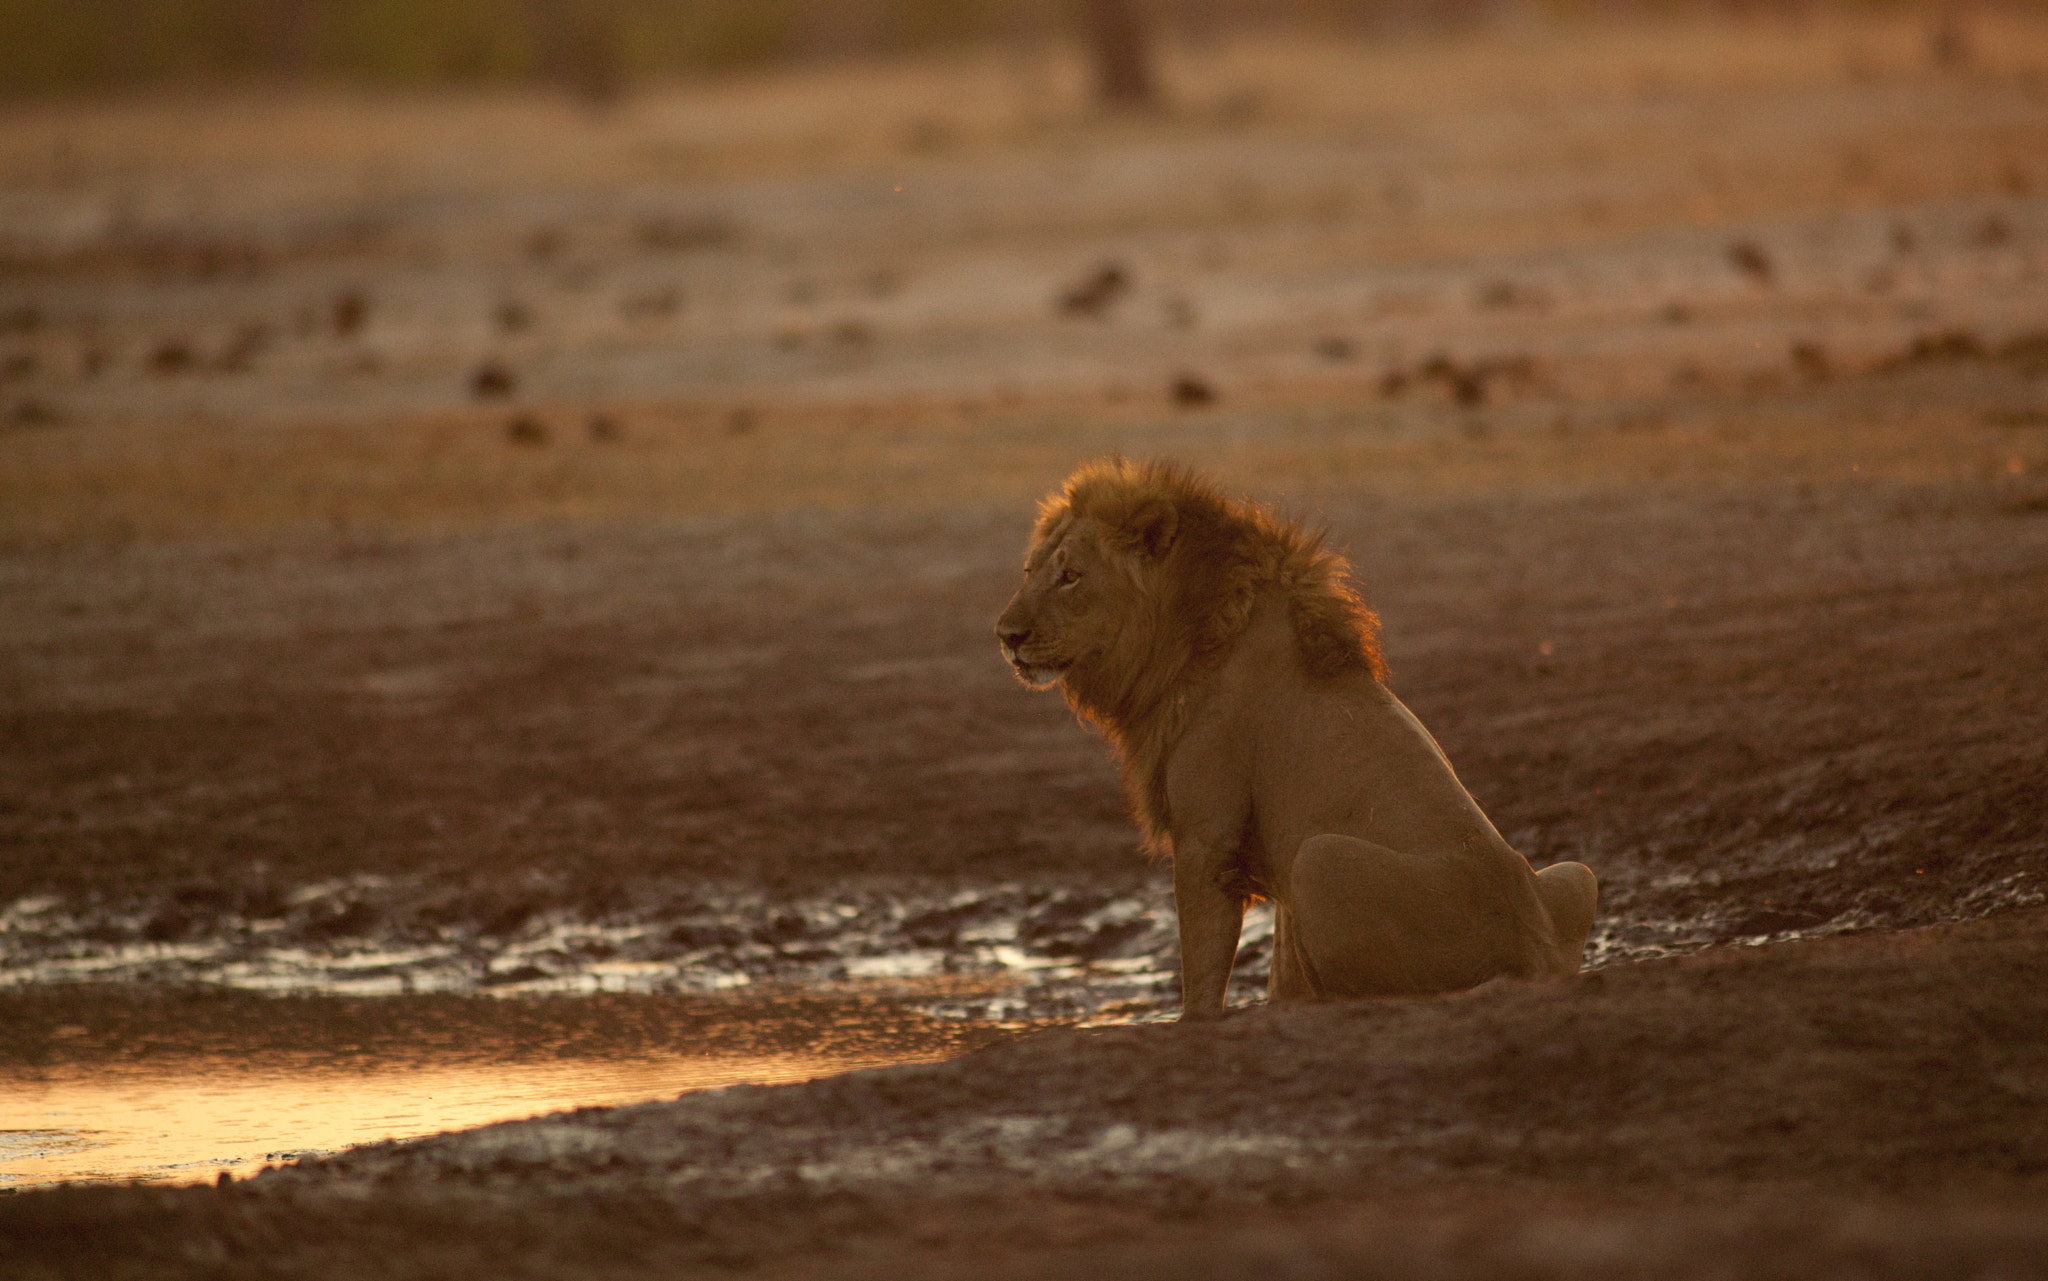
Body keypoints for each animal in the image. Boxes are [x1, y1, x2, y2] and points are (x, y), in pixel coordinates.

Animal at [991, 457, 1597, 1020]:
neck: (1180, 640)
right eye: (1029, 570)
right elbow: (1281, 961)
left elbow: (1202, 964)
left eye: (1071, 576)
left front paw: (1193, 1022)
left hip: (1319, 856)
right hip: (1576, 875)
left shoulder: (1207, 838)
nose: (1006, 635)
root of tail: (1535, 954)